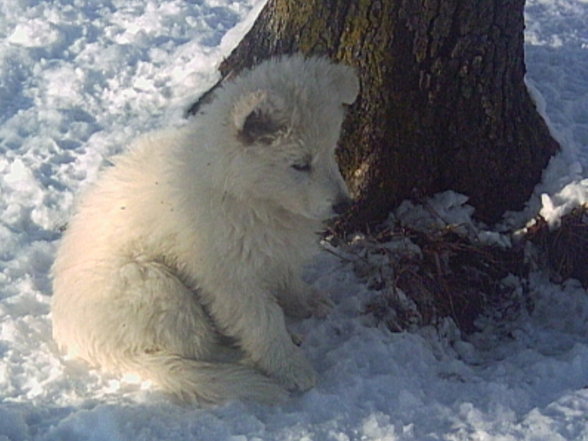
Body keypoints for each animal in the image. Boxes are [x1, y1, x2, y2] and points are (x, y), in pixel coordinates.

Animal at [50, 54, 360, 402]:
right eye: (299, 164)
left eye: (331, 150)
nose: (345, 205)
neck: (246, 193)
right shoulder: (230, 276)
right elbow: (262, 321)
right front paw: (291, 367)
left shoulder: (274, 249)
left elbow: (287, 277)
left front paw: (306, 301)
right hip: (156, 287)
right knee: (194, 349)